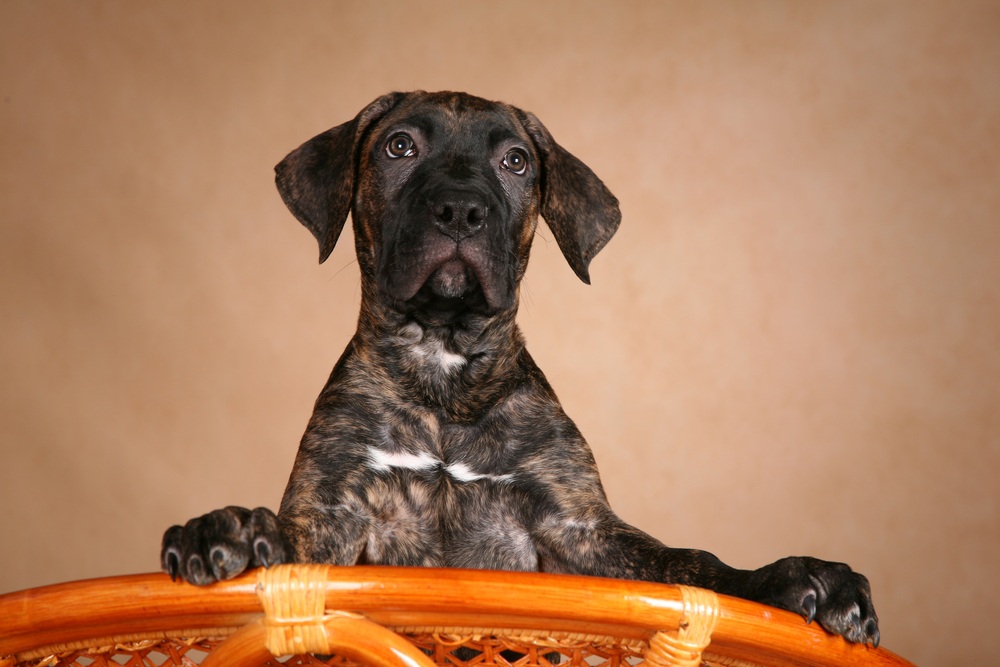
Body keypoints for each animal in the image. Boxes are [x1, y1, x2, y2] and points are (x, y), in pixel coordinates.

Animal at [160, 90, 880, 648]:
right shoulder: (334, 516)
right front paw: (230, 528)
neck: (445, 370)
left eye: (515, 161)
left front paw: (795, 578)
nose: (460, 209)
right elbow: (294, 536)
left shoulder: (580, 529)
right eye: (398, 147)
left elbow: (686, 562)